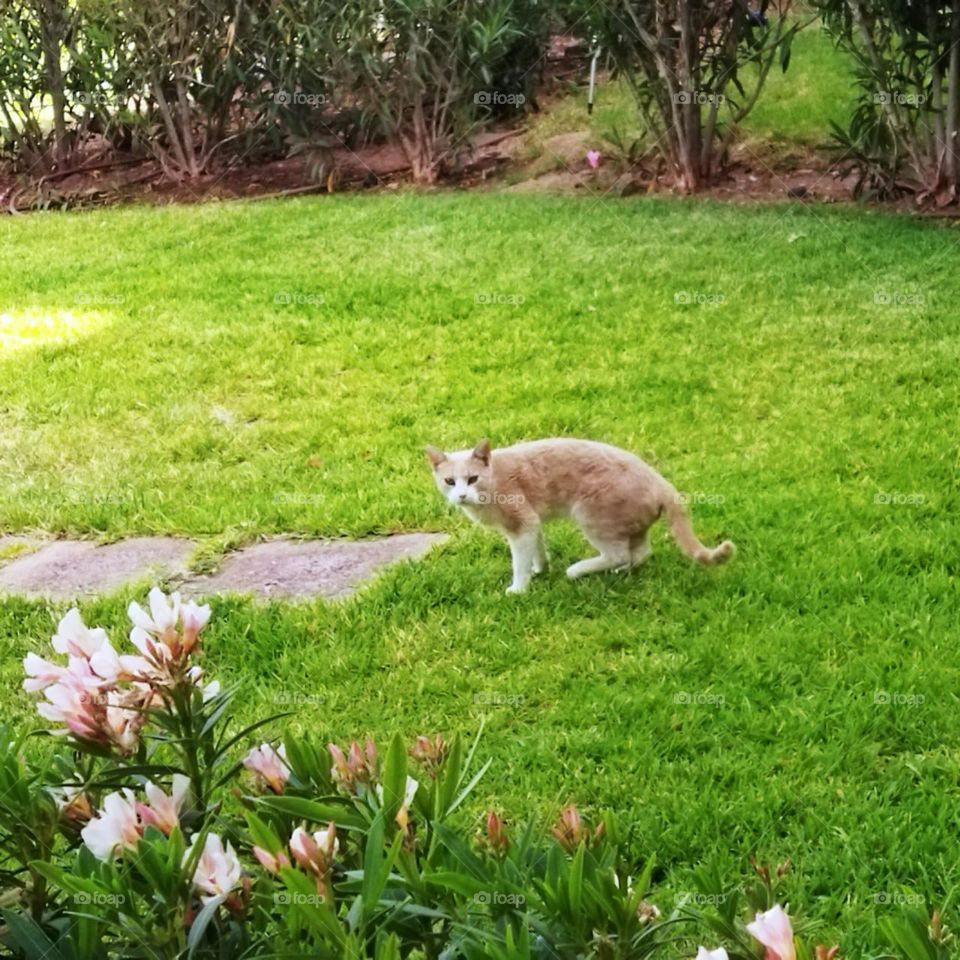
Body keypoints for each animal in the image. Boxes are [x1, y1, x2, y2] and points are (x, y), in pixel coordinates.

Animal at [426, 440, 736, 592]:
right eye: (450, 482)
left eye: (473, 479)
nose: (461, 495)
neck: (493, 482)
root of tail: (662, 484)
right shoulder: (533, 521)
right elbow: (538, 548)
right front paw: (541, 569)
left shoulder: (521, 521)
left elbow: (520, 561)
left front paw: (519, 587)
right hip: (630, 524)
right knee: (640, 552)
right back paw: (622, 570)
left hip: (590, 514)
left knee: (618, 553)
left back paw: (577, 571)